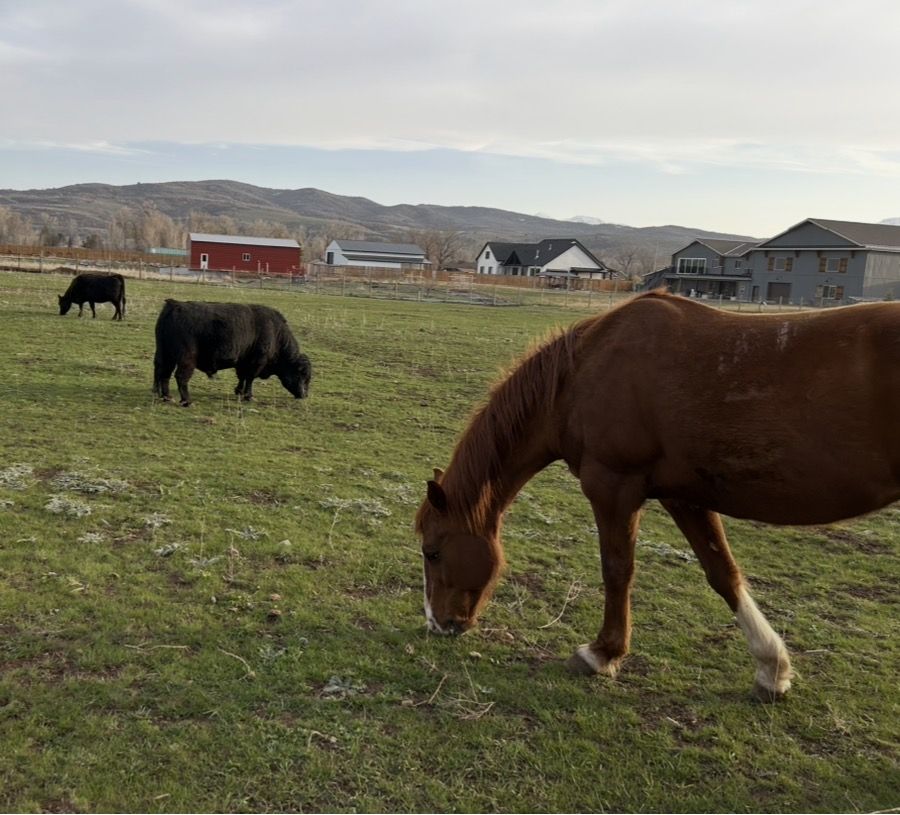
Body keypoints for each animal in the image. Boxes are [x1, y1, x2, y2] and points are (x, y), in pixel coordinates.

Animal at [416, 291, 900, 701]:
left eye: (433, 552)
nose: (438, 624)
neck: (583, 372)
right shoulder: (684, 496)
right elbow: (723, 573)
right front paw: (771, 668)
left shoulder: (613, 486)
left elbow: (617, 570)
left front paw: (601, 653)